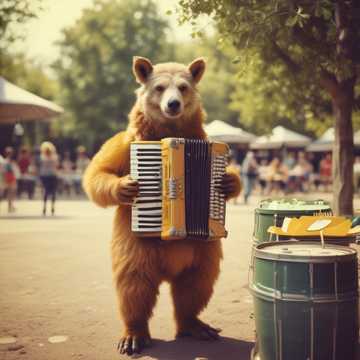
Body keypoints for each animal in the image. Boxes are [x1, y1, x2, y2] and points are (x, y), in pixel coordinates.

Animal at [82, 56, 240, 354]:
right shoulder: (127, 143)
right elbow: (99, 171)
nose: (173, 104)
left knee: (197, 282)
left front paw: (227, 182)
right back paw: (134, 335)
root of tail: (169, 270)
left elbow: (233, 174)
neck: (169, 133)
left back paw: (195, 325)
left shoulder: (208, 143)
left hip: (202, 248)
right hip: (138, 245)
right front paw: (125, 186)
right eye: (159, 87)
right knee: (135, 283)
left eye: (183, 87)